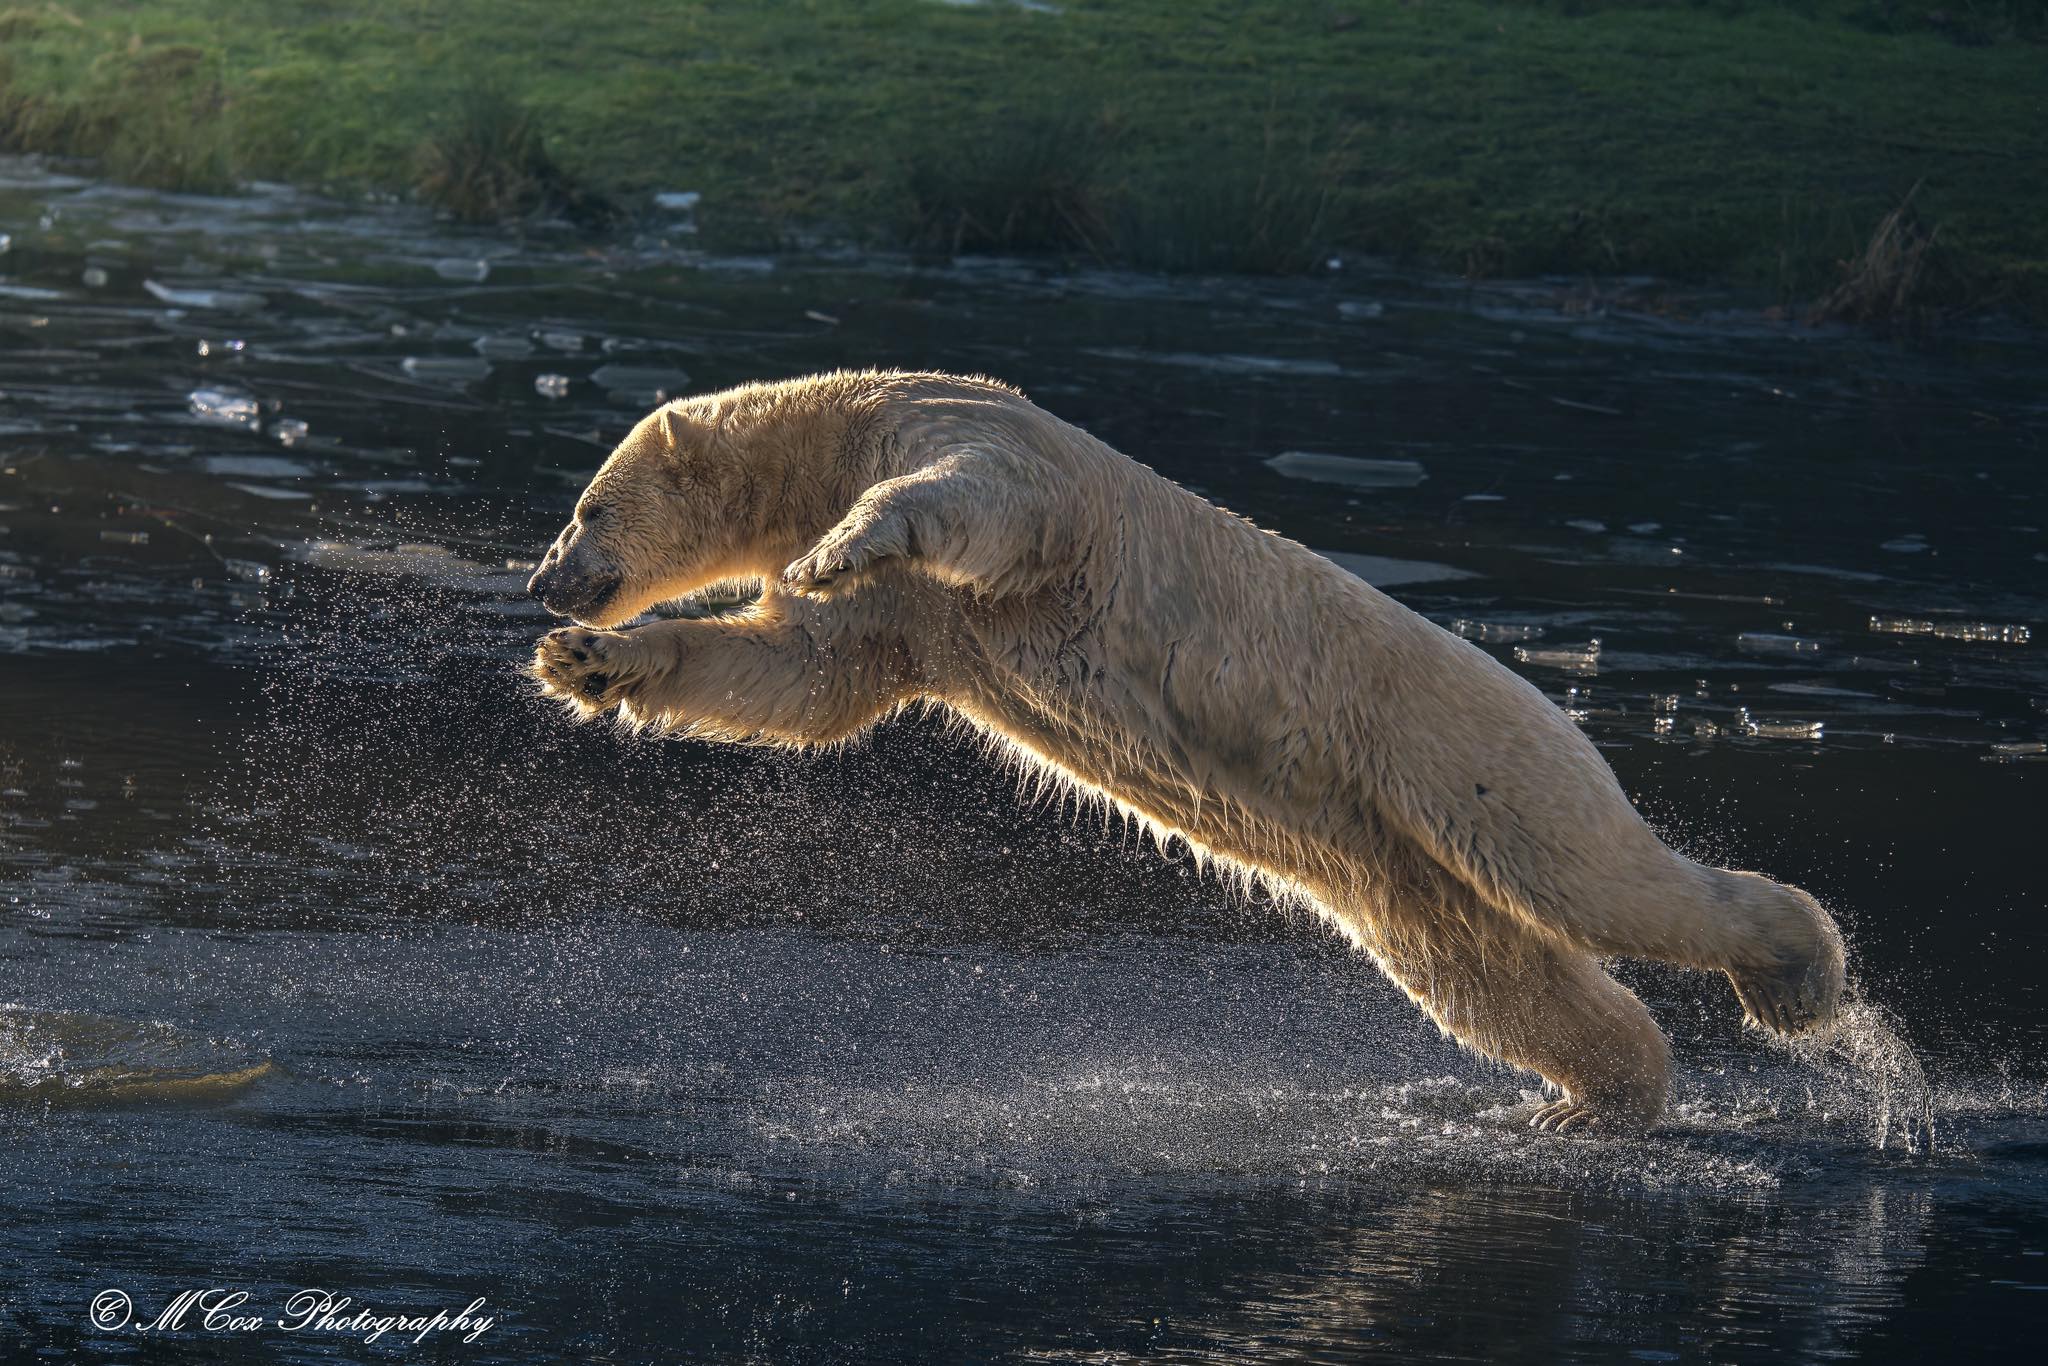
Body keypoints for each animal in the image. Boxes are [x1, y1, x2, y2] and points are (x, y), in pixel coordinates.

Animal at [527, 369, 1846, 1131]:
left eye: (587, 506)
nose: (545, 581)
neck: (836, 431)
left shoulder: (987, 446)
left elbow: (972, 503)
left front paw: (833, 547)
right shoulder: (907, 627)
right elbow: (802, 677)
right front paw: (586, 664)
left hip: (1465, 751)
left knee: (1587, 874)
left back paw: (1793, 977)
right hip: (1389, 860)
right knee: (1490, 974)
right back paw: (1600, 1100)